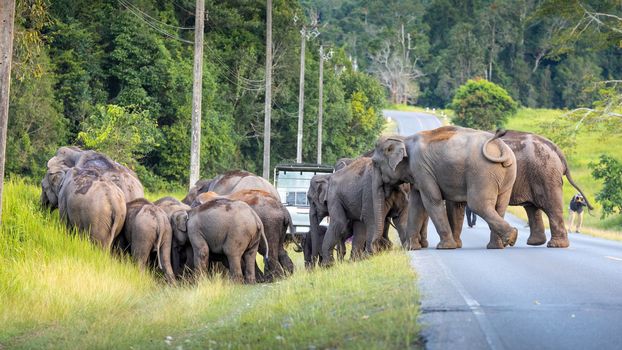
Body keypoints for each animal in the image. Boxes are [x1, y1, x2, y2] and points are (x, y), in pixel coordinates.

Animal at [376, 127, 520, 250]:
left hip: (482, 173)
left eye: (375, 163)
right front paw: (410, 248)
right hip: (507, 174)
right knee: (500, 206)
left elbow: (432, 200)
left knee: (478, 205)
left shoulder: (421, 168)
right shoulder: (419, 174)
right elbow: (417, 203)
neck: (405, 139)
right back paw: (499, 245)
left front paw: (445, 247)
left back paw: (511, 237)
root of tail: (500, 146)